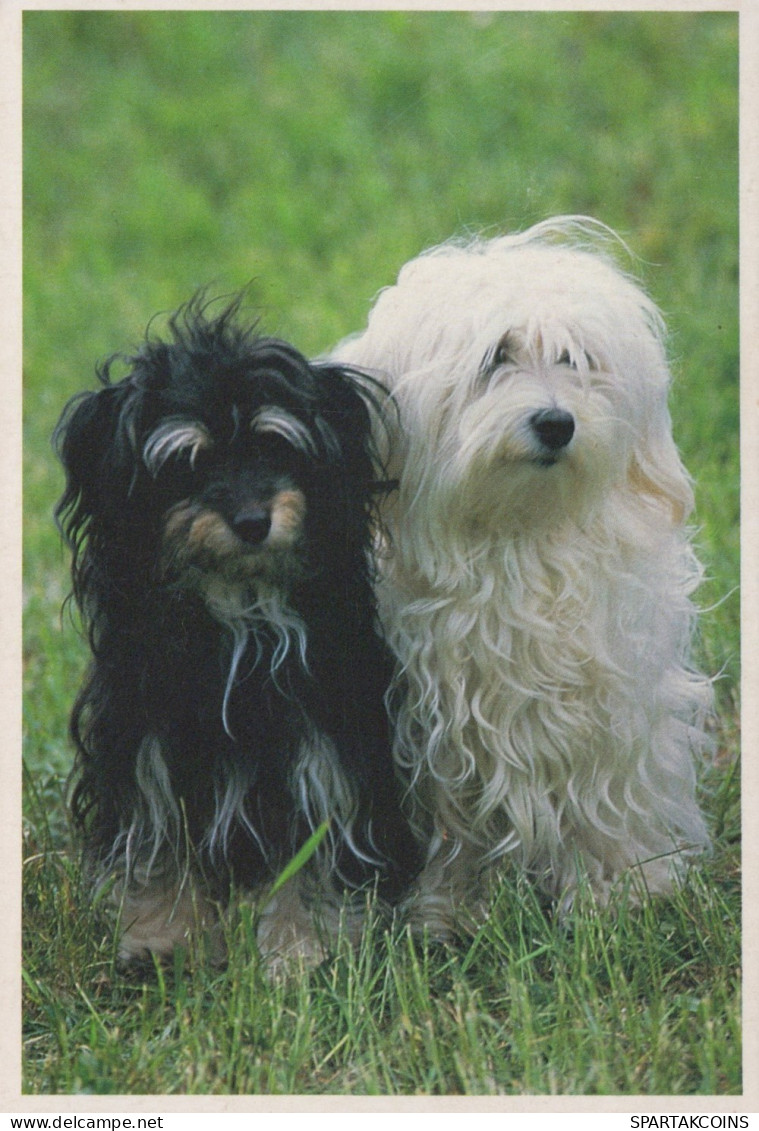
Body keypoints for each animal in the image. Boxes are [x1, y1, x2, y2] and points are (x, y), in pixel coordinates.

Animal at [53, 291, 420, 963]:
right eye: (185, 462)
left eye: (277, 448)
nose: (252, 521)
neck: (241, 614)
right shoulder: (148, 746)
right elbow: (161, 845)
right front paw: (163, 939)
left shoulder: (322, 751)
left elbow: (313, 856)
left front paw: (300, 951)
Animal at [334, 213, 714, 936]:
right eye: (496, 358)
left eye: (574, 359)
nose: (555, 422)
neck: (520, 539)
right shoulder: (443, 730)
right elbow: (457, 823)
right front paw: (452, 908)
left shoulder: (608, 709)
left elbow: (603, 798)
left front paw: (616, 890)